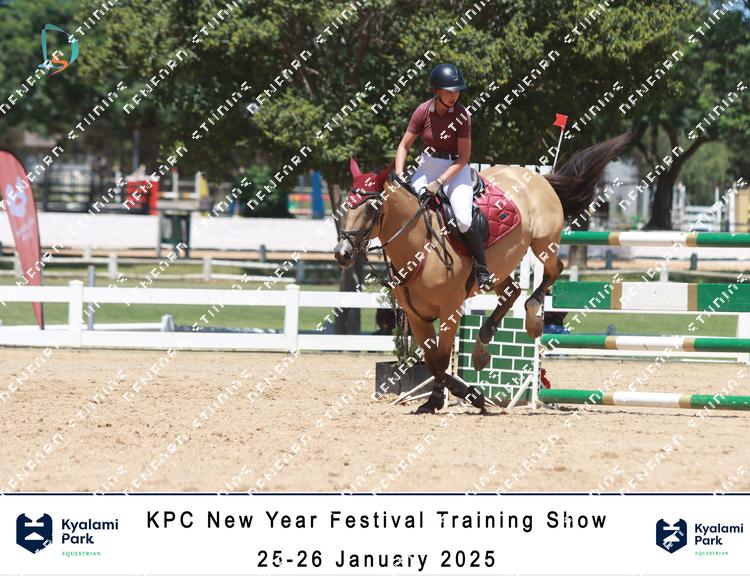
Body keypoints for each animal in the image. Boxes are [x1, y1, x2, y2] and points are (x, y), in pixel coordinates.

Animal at [334, 131, 634, 414]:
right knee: (512, 292)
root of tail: (539, 177)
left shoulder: (450, 311)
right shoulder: (416, 317)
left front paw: (463, 398)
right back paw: (481, 348)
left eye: (373, 207)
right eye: (346, 205)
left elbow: (441, 360)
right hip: (502, 266)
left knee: (550, 273)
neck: (420, 247)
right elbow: (433, 363)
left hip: (543, 243)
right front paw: (449, 398)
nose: (342, 253)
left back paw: (533, 320)